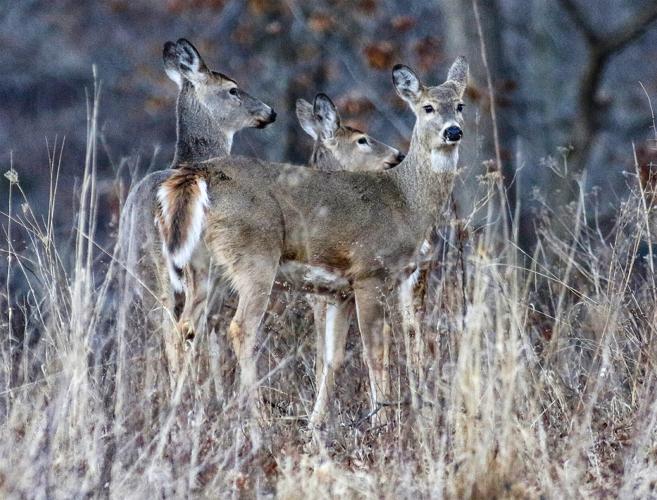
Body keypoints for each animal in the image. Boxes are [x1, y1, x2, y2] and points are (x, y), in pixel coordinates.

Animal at [156, 57, 468, 424]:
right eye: (427, 107)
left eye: (460, 105)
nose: (453, 131)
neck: (406, 202)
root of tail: (197, 174)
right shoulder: (369, 272)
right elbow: (375, 351)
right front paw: (383, 421)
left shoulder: (339, 291)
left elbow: (333, 357)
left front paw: (316, 424)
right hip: (255, 255)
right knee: (240, 328)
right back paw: (256, 420)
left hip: (204, 265)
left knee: (187, 326)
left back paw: (180, 413)